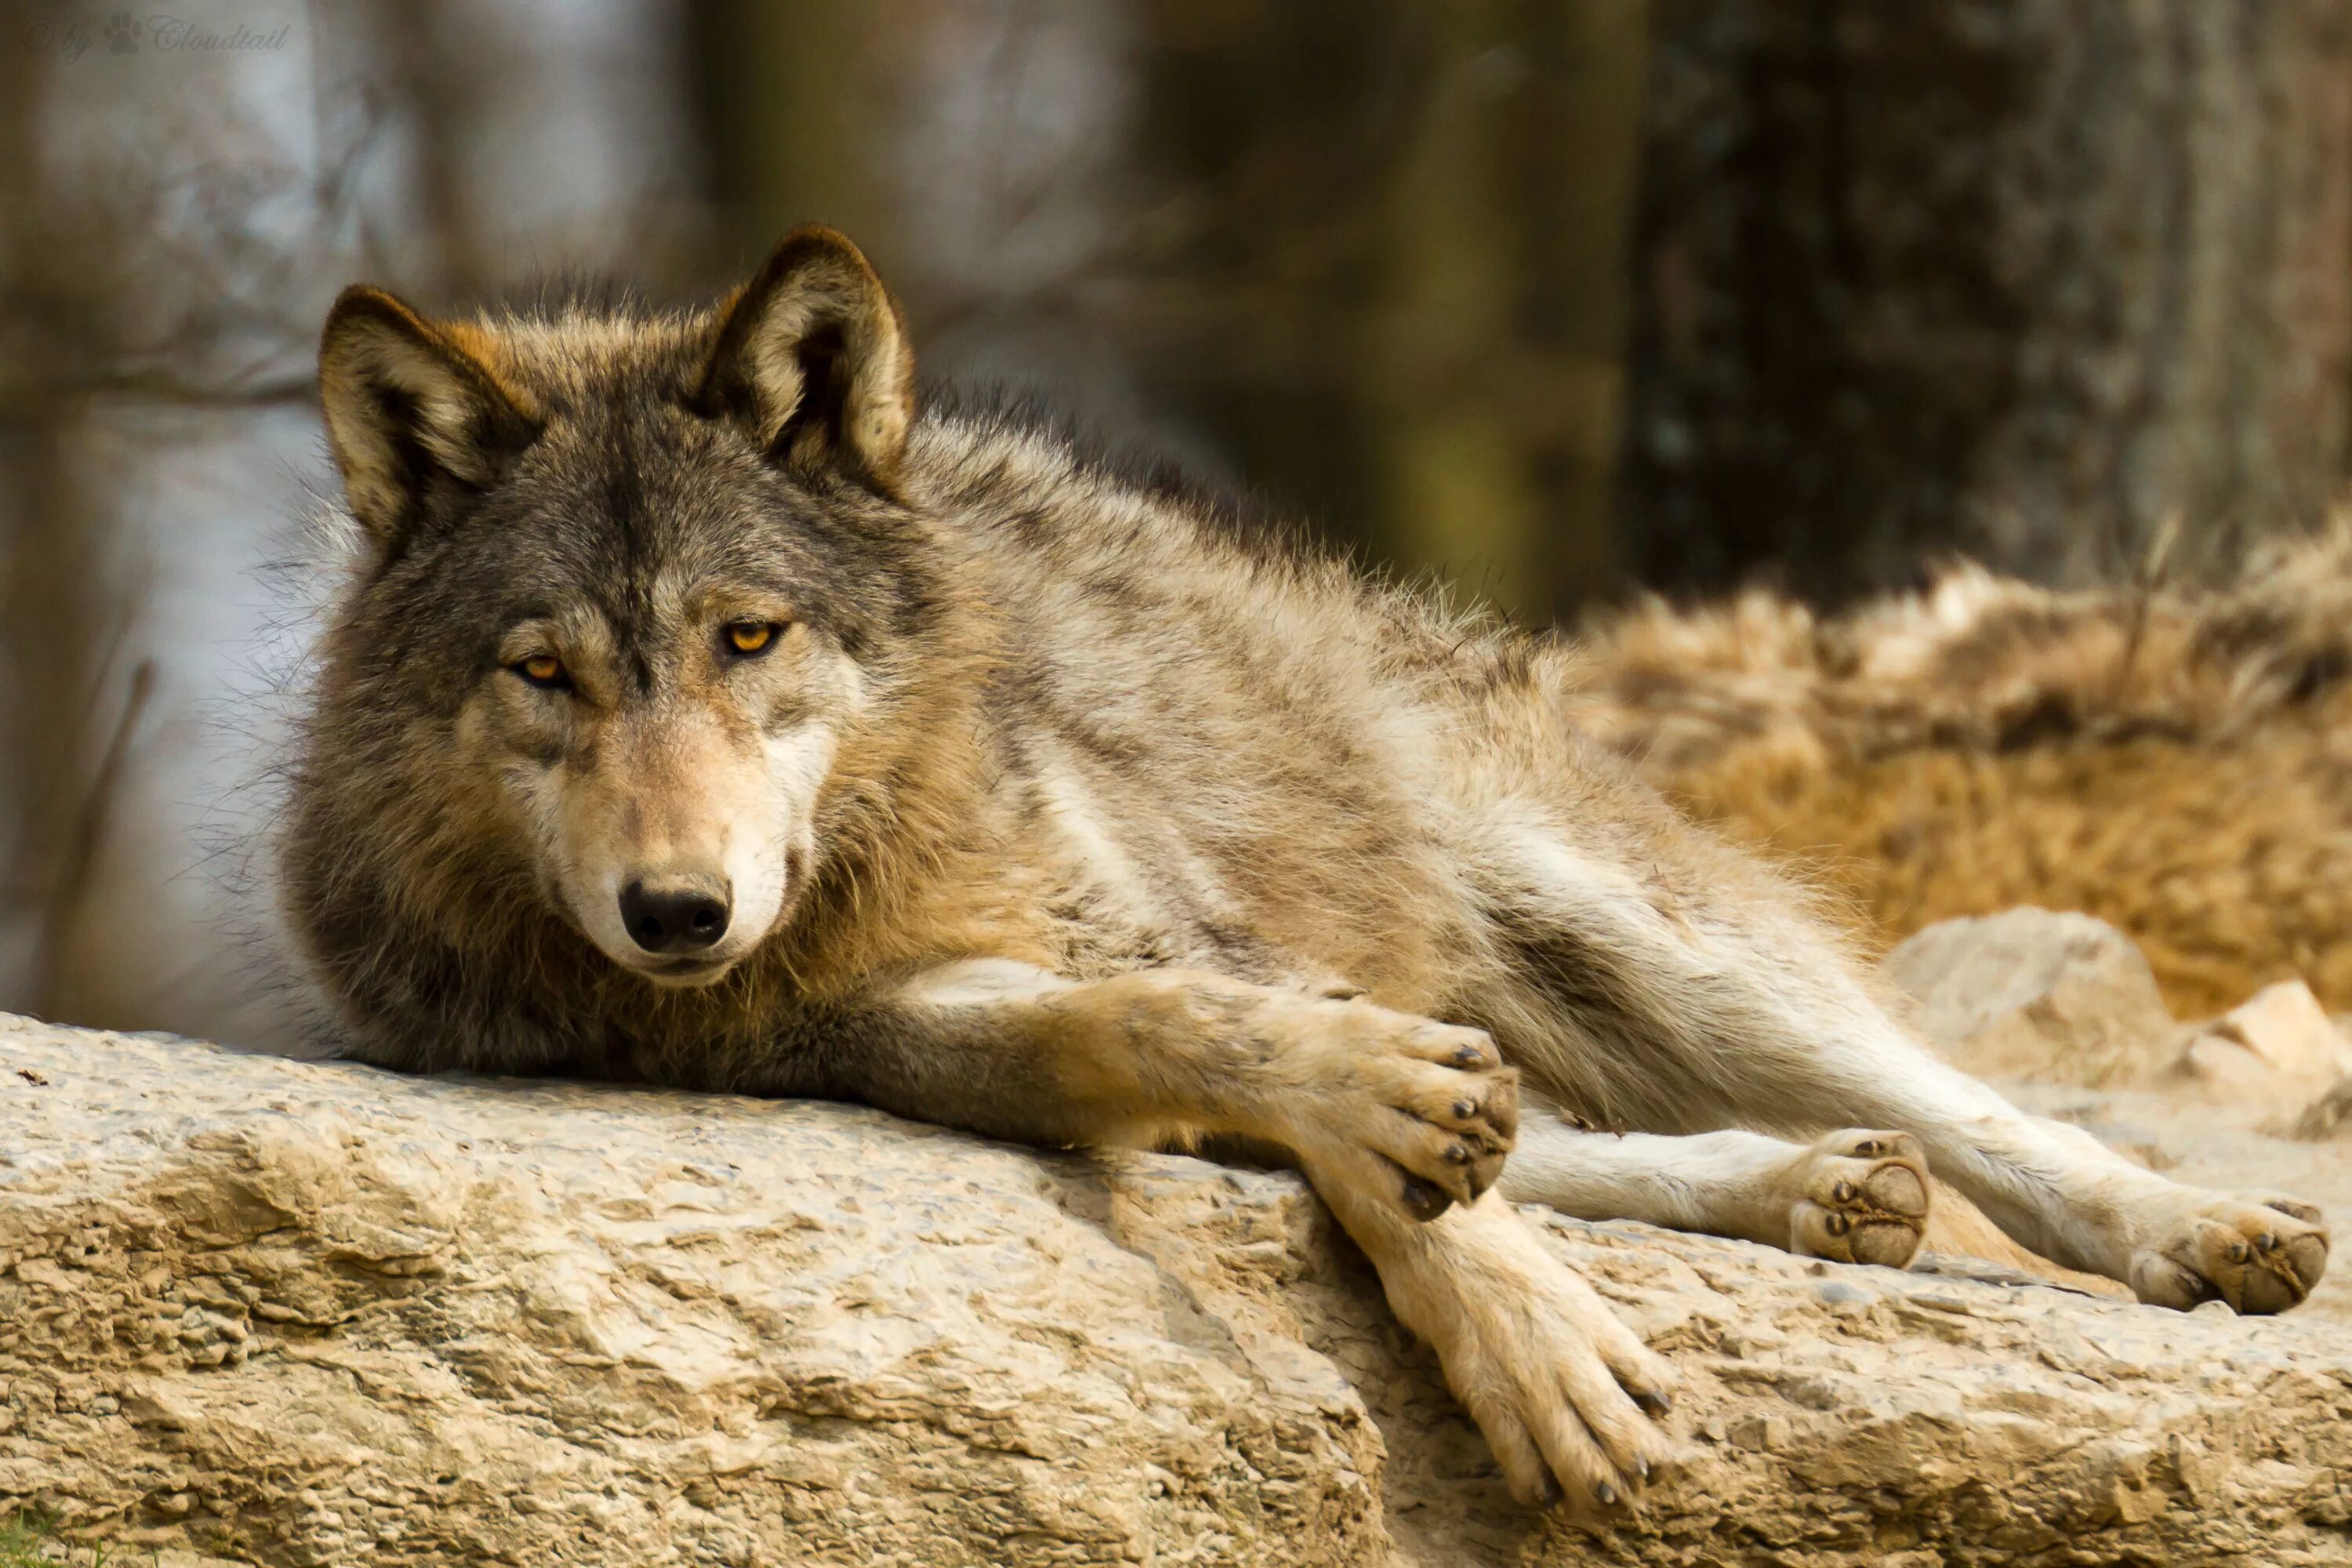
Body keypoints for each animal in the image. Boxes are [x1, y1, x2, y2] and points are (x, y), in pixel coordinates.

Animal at [289, 227, 2333, 1514]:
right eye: (545, 673)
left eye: (745, 638)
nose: (679, 913)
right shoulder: (892, 1030)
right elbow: (1223, 1054)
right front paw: (1504, 1271)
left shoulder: (1167, 918)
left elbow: (1387, 1136)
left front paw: (1517, 1315)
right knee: (1571, 1126)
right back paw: (1821, 1189)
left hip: (1650, 939)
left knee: (1976, 1112)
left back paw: (2185, 1228)